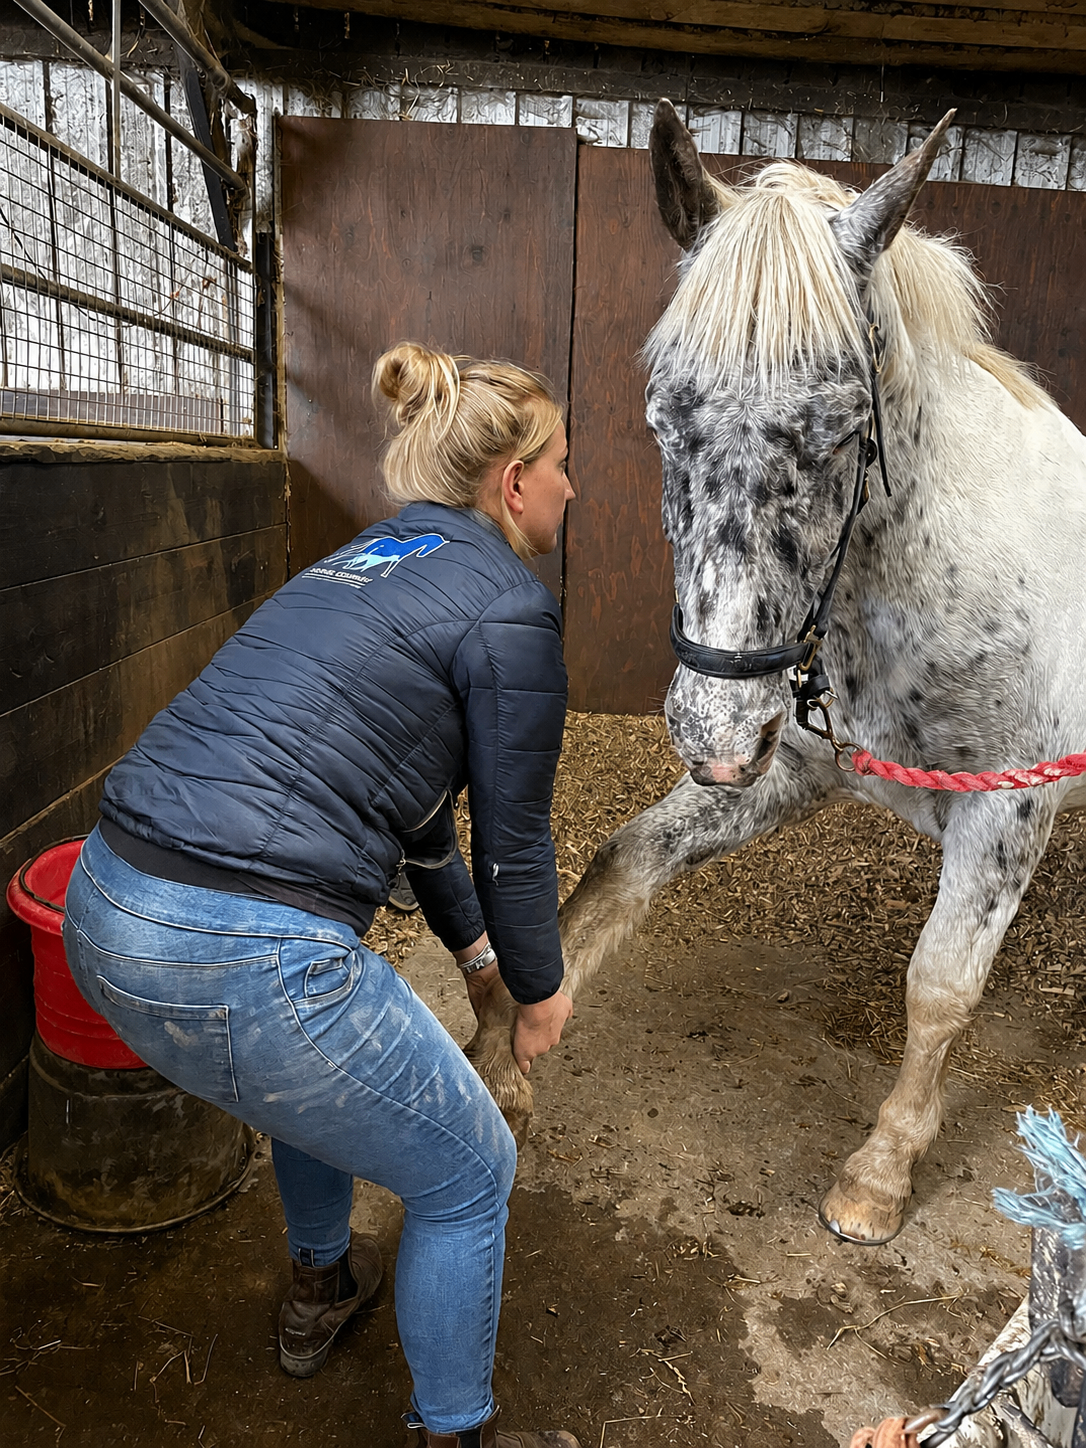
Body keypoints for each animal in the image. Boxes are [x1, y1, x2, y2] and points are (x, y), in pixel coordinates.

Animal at [472, 100, 1086, 1246]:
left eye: (844, 428)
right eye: (663, 416)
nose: (713, 731)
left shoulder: (1008, 812)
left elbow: (940, 985)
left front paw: (881, 1173)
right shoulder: (785, 768)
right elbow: (623, 860)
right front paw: (506, 1057)